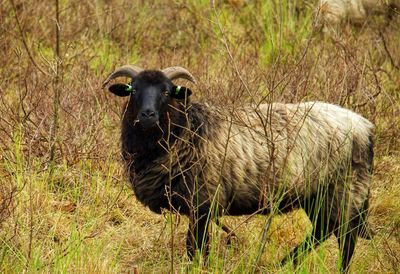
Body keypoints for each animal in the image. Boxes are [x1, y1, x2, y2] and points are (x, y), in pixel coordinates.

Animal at [101, 65, 374, 272]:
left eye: (167, 91)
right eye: (133, 90)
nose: (147, 115)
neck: (187, 131)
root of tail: (365, 127)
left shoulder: (203, 204)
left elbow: (195, 247)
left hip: (344, 190)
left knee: (345, 239)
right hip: (316, 194)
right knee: (323, 231)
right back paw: (285, 262)